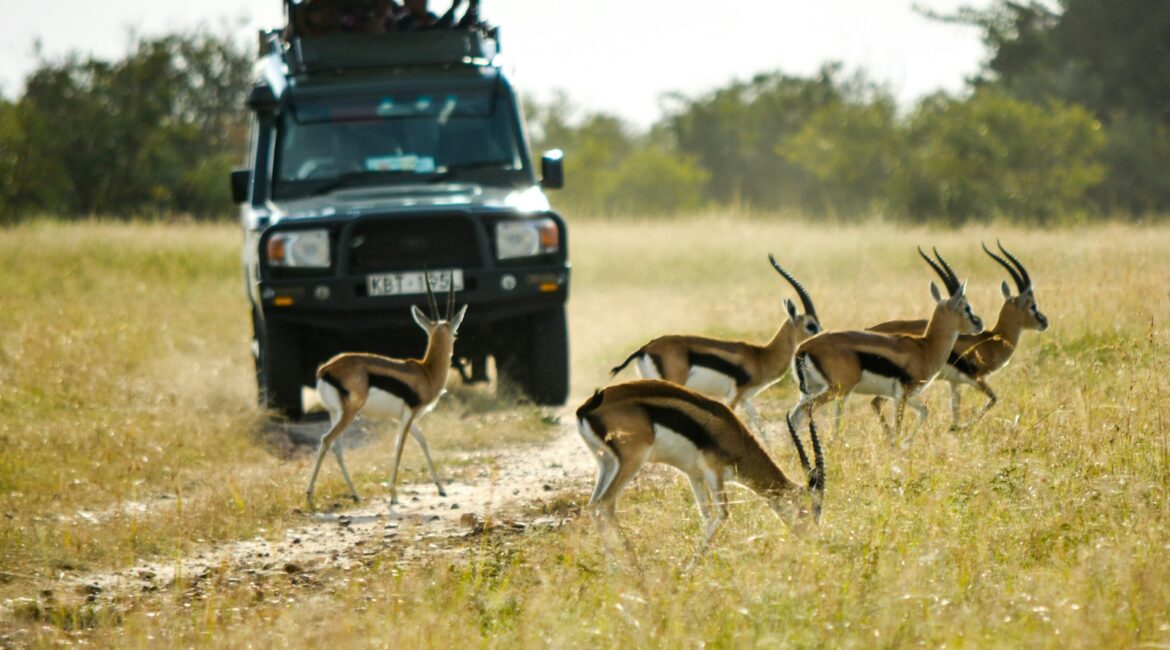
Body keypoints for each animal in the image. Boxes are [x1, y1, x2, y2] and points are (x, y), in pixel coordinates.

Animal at [306, 272, 468, 507]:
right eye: (455, 334)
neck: (426, 373)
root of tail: (326, 369)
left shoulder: (405, 417)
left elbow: (423, 442)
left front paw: (441, 488)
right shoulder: (409, 414)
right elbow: (400, 445)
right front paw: (393, 494)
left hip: (335, 413)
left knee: (337, 447)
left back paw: (355, 495)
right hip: (350, 413)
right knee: (327, 440)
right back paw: (310, 495)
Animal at [576, 379, 824, 559]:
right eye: (809, 507)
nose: (812, 538)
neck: (738, 440)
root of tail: (587, 408)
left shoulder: (694, 474)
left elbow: (706, 514)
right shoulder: (714, 472)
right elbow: (722, 514)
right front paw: (691, 567)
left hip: (607, 464)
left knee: (594, 506)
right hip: (632, 461)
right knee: (605, 503)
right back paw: (635, 571)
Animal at [609, 254, 821, 440]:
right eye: (811, 325)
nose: (822, 336)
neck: (760, 357)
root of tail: (645, 348)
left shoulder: (746, 399)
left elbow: (761, 428)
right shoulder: (733, 397)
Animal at [787, 247, 984, 448]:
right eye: (967, 307)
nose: (979, 323)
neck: (926, 347)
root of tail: (803, 348)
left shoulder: (905, 395)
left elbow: (924, 411)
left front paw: (903, 444)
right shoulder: (902, 395)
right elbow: (899, 426)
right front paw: (899, 446)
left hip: (813, 389)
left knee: (794, 415)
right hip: (836, 390)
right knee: (803, 412)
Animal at [868, 242, 1048, 430]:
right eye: (1033, 306)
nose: (1045, 321)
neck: (992, 340)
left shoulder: (954, 383)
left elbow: (956, 409)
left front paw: (954, 428)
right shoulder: (977, 379)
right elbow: (993, 399)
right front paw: (960, 428)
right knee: (877, 402)